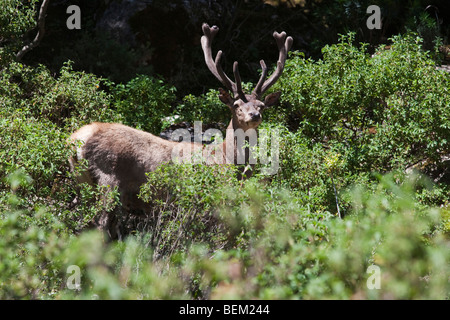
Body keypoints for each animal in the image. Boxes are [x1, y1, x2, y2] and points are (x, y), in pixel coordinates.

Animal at [67, 23, 292, 239]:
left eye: (261, 105)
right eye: (236, 105)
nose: (254, 115)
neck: (226, 160)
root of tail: (76, 139)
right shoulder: (213, 199)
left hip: (83, 183)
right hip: (108, 179)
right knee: (99, 224)